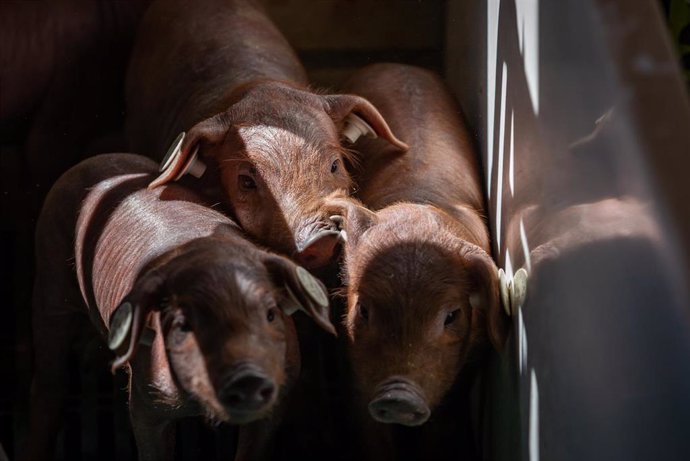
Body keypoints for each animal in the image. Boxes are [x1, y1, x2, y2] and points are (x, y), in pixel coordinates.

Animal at [21, 153, 334, 458]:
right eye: (183, 325)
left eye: (270, 314)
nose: (247, 377)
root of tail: (93, 159)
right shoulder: (145, 397)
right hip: (48, 280)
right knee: (48, 383)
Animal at [322, 63, 506, 438]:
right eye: (363, 310)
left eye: (452, 315)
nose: (398, 396)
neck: (418, 204)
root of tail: (396, 64)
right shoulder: (353, 367)